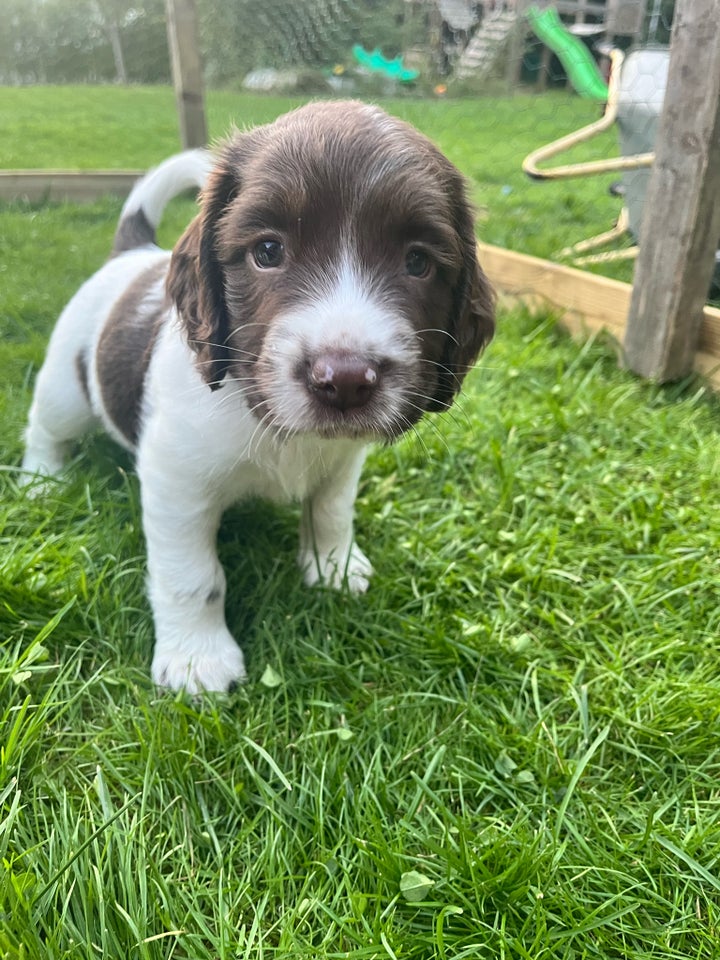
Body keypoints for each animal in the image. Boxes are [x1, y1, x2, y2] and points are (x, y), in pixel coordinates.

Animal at [22, 103, 496, 688]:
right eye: (267, 251)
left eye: (418, 263)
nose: (345, 380)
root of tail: (135, 252)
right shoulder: (176, 483)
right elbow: (192, 575)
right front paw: (198, 659)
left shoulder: (342, 462)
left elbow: (331, 511)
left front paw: (333, 568)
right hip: (67, 389)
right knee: (45, 426)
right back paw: (41, 479)